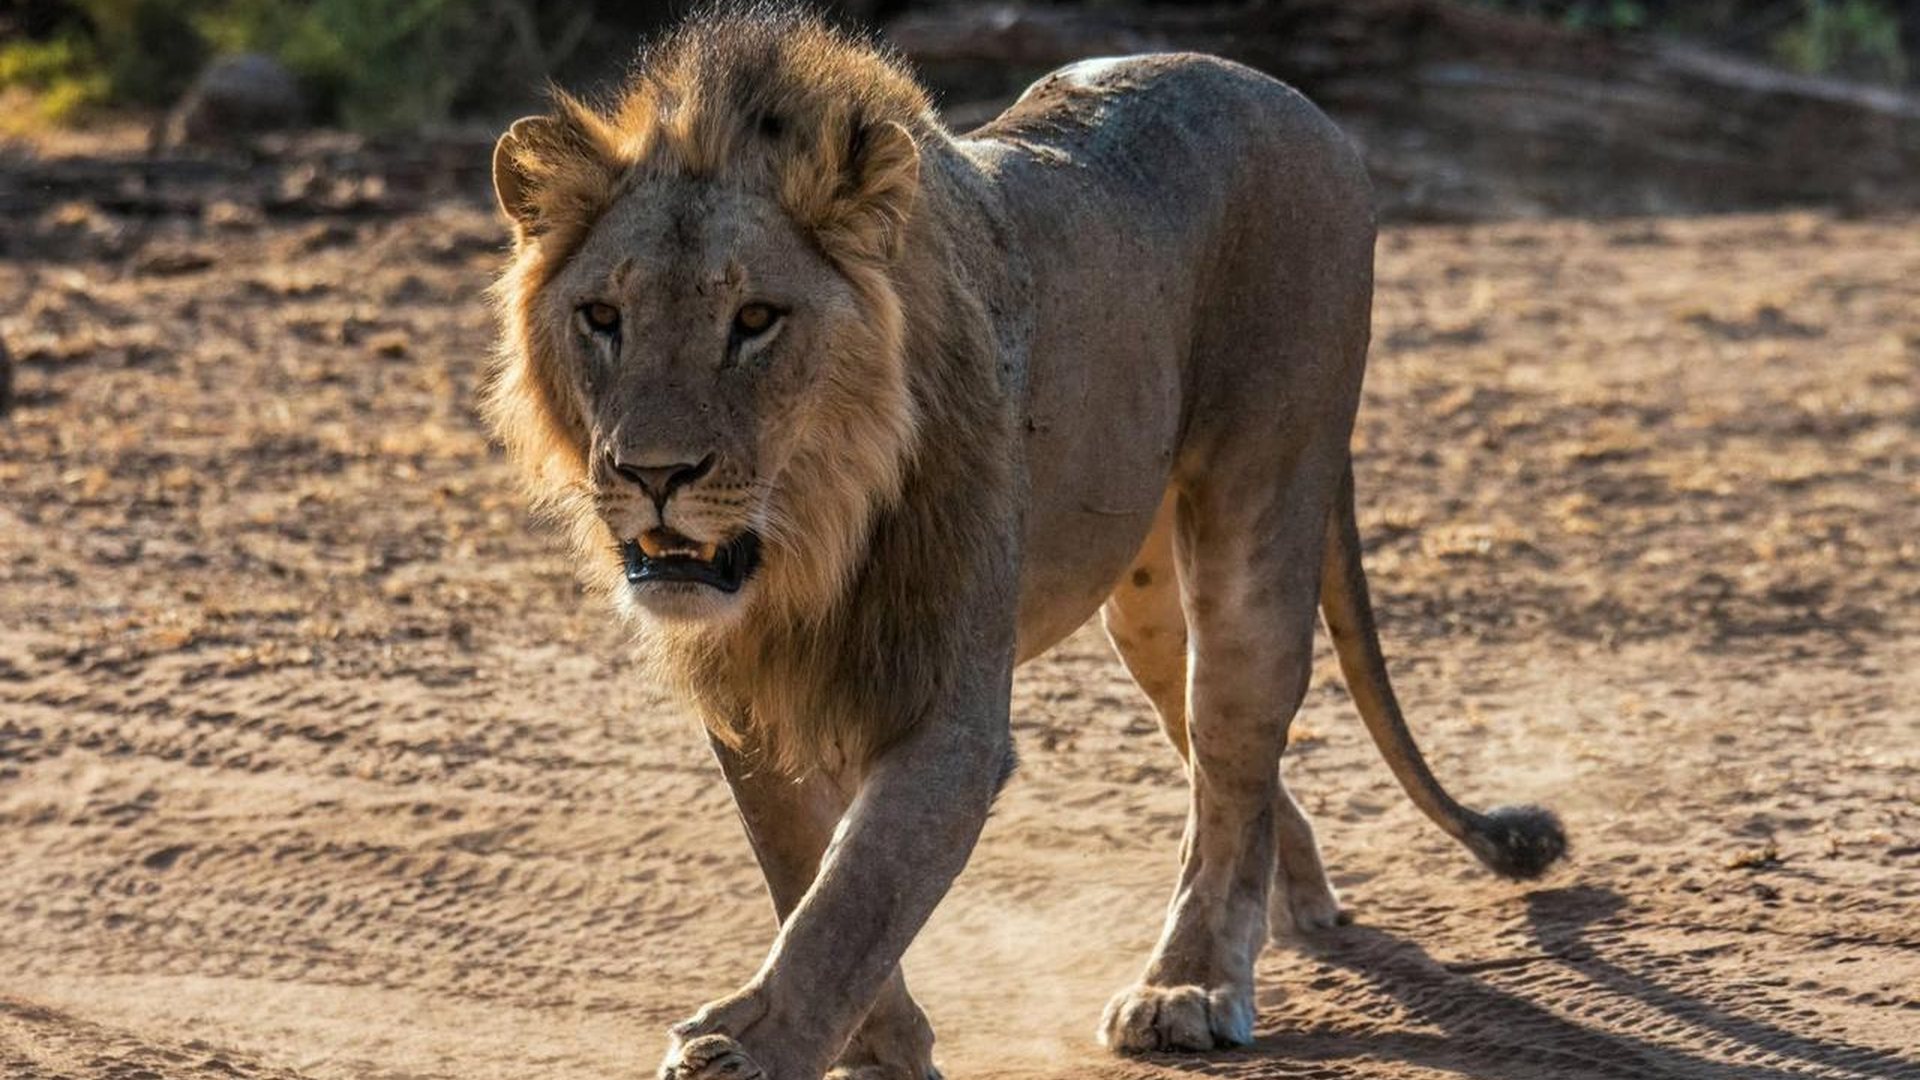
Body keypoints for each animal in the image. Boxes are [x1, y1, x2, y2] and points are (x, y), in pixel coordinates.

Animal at [485, 8, 1568, 1078]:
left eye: (755, 320)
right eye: (602, 317)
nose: (652, 475)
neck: (809, 541)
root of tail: (1299, 104)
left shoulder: (950, 708)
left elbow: (856, 897)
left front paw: (764, 1050)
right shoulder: (752, 697)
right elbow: (804, 870)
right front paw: (881, 1048)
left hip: (1262, 505)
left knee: (1231, 742)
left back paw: (1192, 983)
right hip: (1141, 605)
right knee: (1228, 765)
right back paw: (1293, 901)